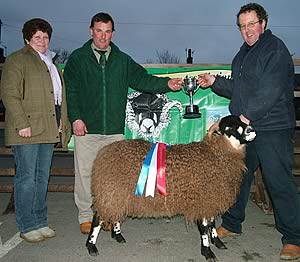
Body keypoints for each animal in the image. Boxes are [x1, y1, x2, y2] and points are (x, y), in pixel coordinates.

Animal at [86, 115, 255, 260]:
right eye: (229, 128)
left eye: (241, 122)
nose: (251, 130)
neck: (216, 154)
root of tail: (103, 153)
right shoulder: (201, 200)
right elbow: (204, 227)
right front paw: (207, 252)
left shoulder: (211, 198)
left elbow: (212, 223)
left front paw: (218, 242)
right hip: (110, 191)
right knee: (98, 218)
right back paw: (91, 246)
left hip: (117, 194)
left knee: (114, 213)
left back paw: (118, 235)